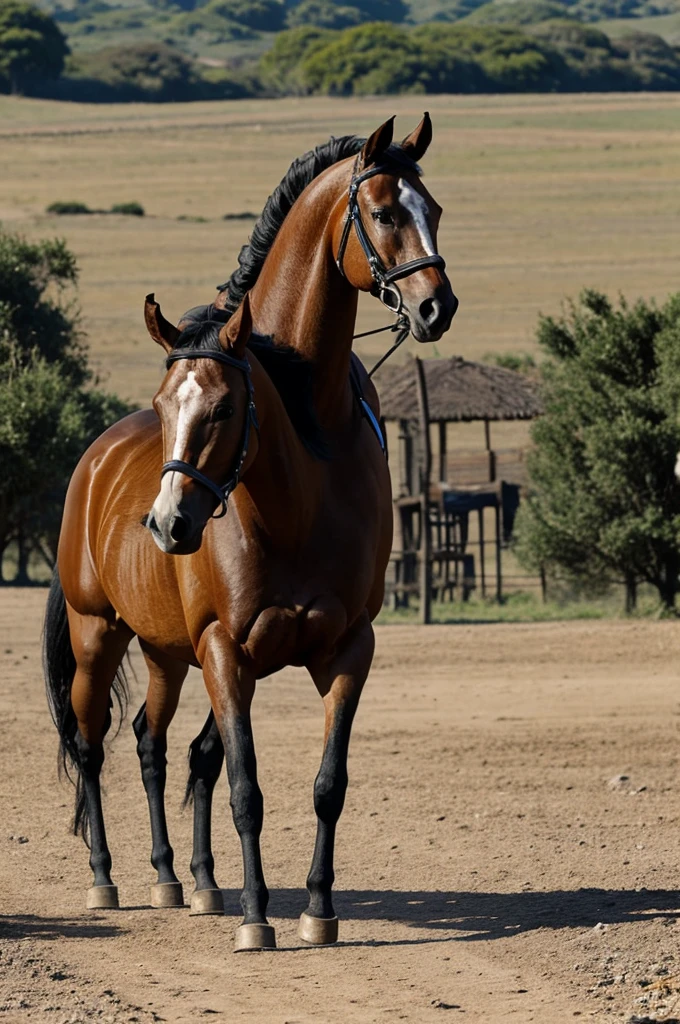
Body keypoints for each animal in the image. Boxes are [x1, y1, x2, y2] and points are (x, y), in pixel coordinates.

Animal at [42, 114, 456, 950]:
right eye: (384, 212)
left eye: (433, 209)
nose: (437, 306)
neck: (306, 453)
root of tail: (92, 461)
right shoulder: (227, 650)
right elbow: (245, 786)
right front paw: (258, 918)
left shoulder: (345, 647)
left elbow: (325, 783)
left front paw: (317, 909)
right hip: (102, 635)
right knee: (95, 742)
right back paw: (108, 878)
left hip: (168, 652)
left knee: (157, 742)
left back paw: (186, 879)